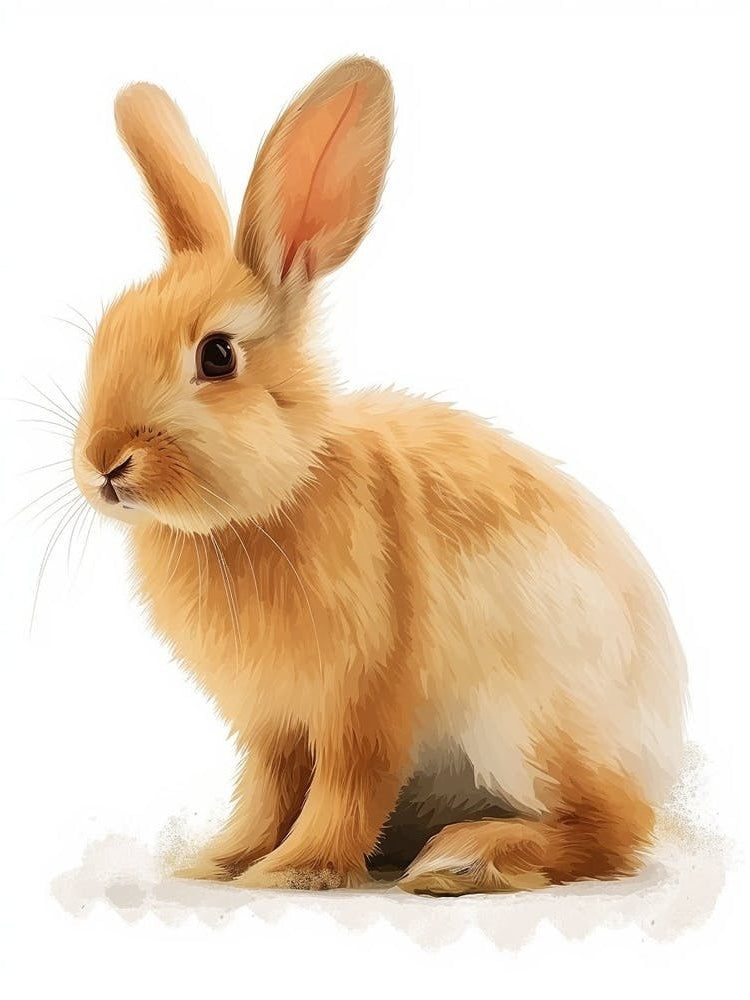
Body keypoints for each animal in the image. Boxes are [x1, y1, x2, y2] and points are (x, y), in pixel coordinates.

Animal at [71, 56, 687, 895]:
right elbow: (266, 794)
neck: (272, 502)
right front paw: (215, 863)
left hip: (528, 728)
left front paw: (291, 873)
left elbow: (346, 788)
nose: (103, 462)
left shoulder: (364, 701)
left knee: (613, 827)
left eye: (217, 356)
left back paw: (465, 857)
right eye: (103, 335)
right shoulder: (271, 726)